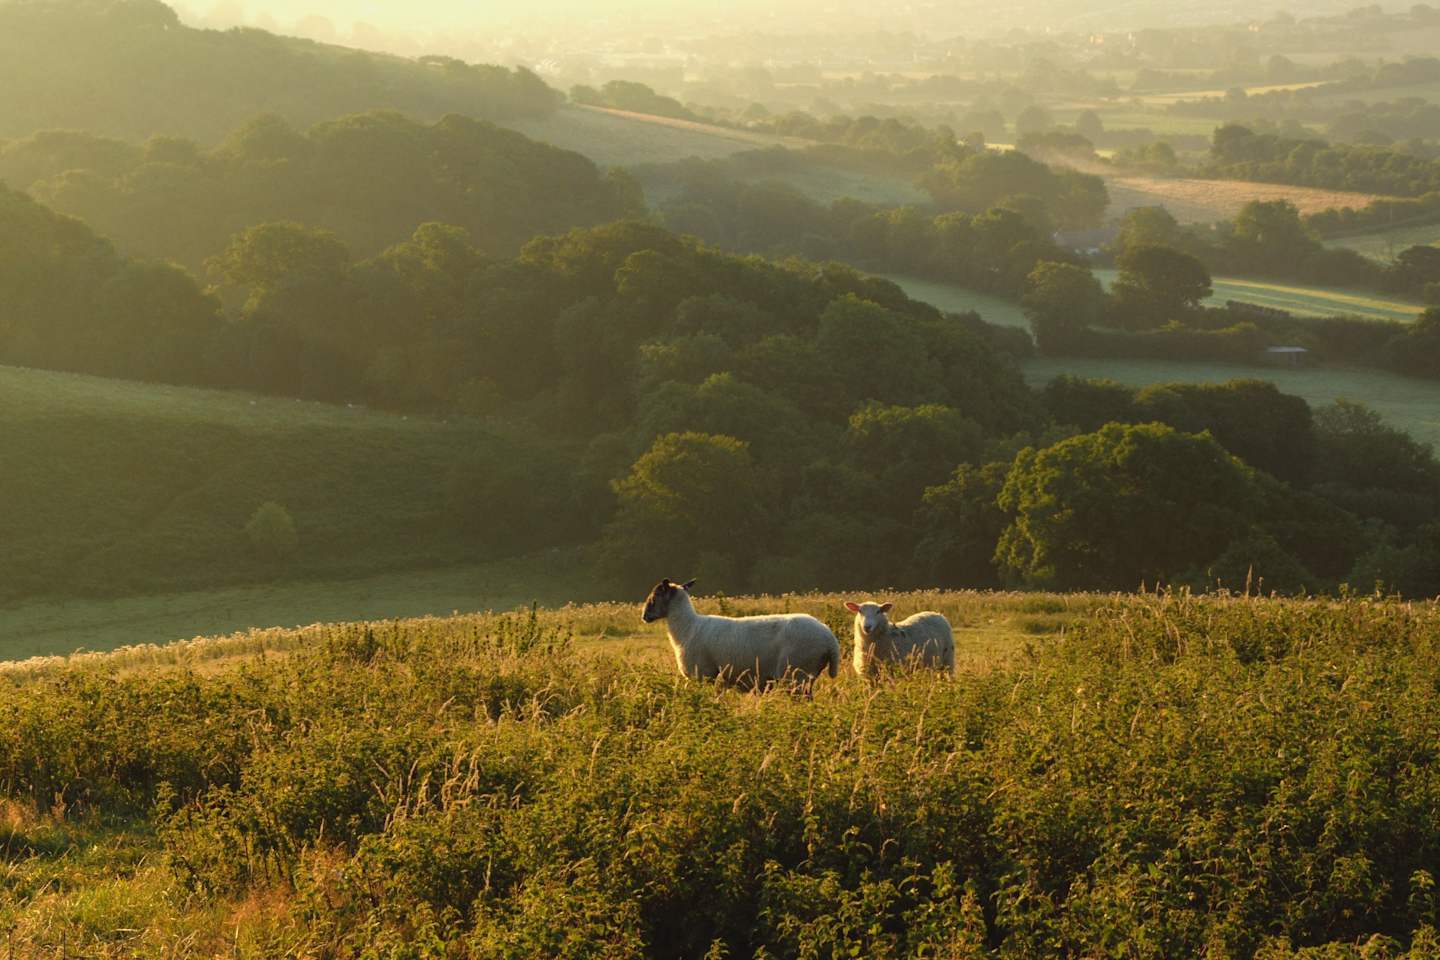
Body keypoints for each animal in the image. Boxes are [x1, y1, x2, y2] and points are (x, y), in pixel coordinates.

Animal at [641, 578, 840, 692]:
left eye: (654, 597)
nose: (644, 616)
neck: (687, 627)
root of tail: (830, 639)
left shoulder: (703, 675)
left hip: (796, 674)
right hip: (805, 676)